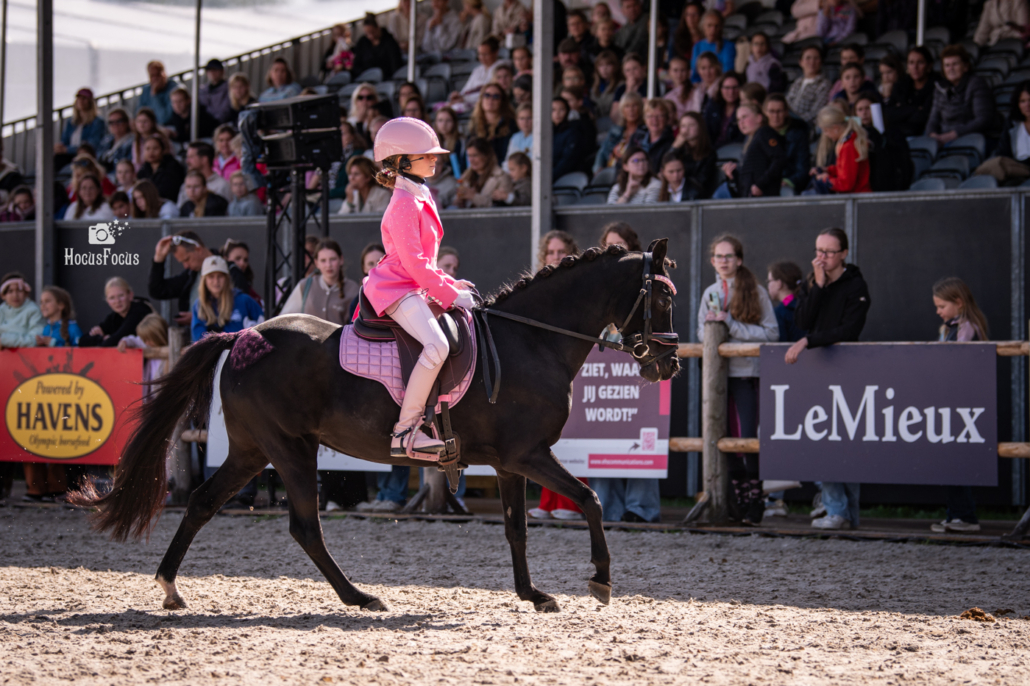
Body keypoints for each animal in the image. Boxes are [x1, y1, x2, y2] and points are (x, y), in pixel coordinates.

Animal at [72, 239, 680, 613]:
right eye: (663, 297)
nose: (667, 365)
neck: (531, 341)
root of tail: (244, 335)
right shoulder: (529, 455)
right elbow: (590, 499)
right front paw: (600, 581)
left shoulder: (511, 463)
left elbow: (517, 529)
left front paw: (533, 595)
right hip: (289, 450)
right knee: (305, 527)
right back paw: (359, 598)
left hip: (251, 451)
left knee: (202, 502)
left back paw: (171, 588)